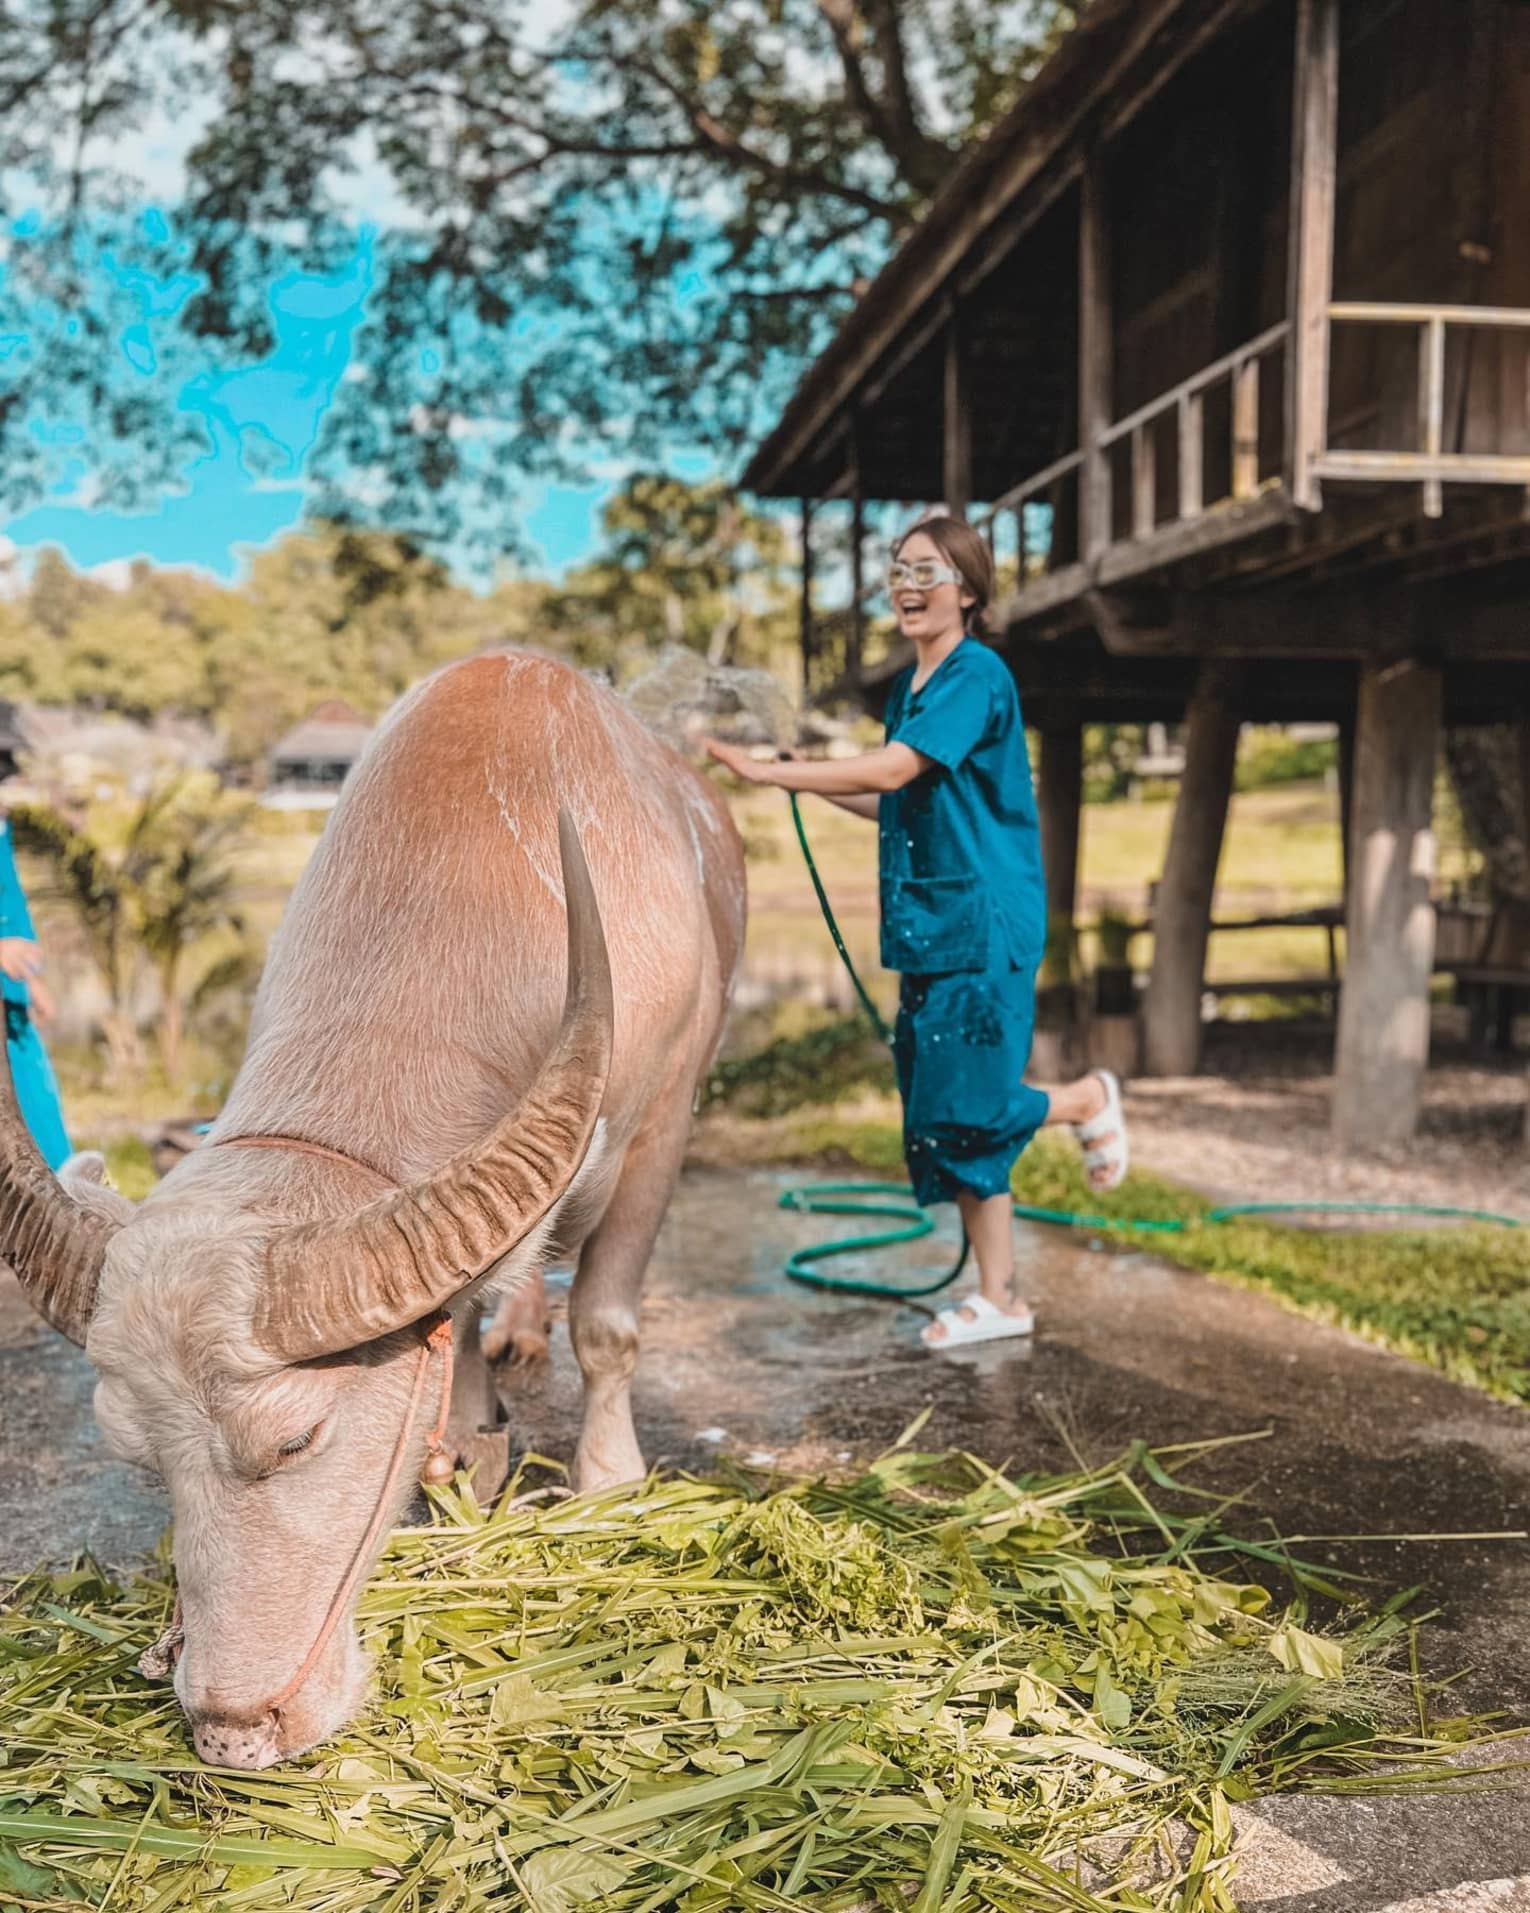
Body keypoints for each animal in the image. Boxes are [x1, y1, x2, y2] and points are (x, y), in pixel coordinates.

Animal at [0, 650, 742, 1767]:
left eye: (297, 1439)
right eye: (138, 1455)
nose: (231, 1729)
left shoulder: (663, 1121)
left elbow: (608, 1322)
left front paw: (608, 1482)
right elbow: (462, 1313)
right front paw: (467, 1447)